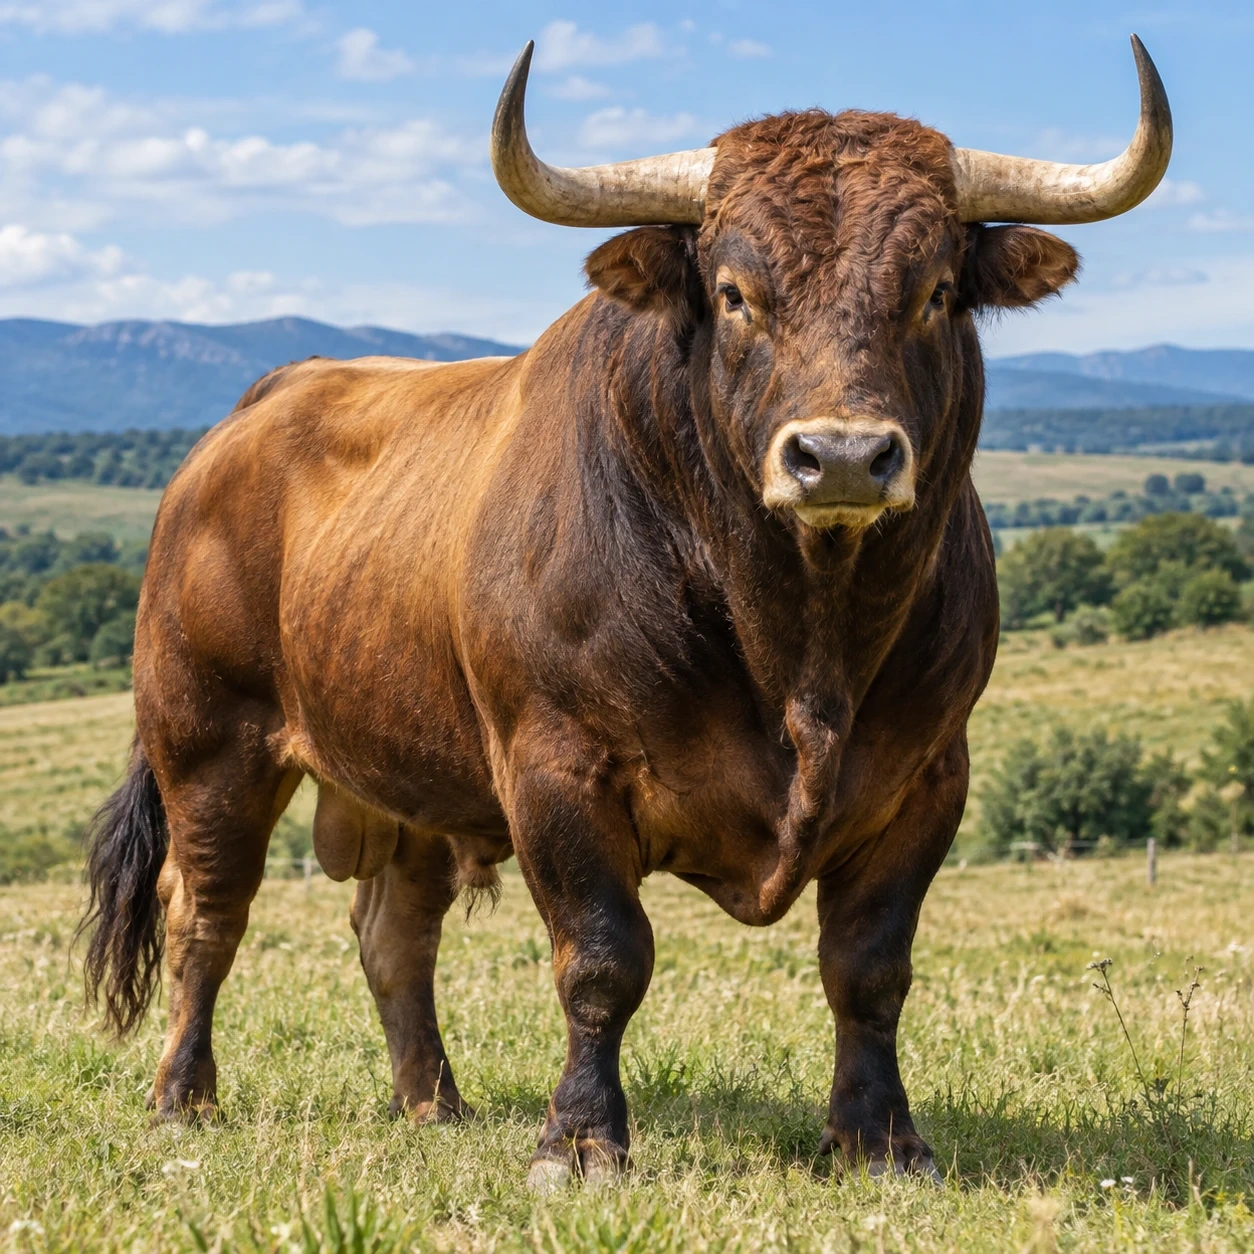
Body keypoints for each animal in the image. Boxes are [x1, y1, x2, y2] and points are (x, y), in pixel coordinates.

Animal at [78, 36, 1170, 1188]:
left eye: (937, 289)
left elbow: (869, 967)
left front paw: (879, 1139)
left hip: (413, 775)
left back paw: (434, 1104)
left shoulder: (926, 777)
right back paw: (183, 1097)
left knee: (394, 933)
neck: (801, 645)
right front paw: (580, 1140)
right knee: (205, 914)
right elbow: (603, 960)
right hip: (211, 745)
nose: (840, 457)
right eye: (734, 292)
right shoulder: (556, 770)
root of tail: (253, 414)